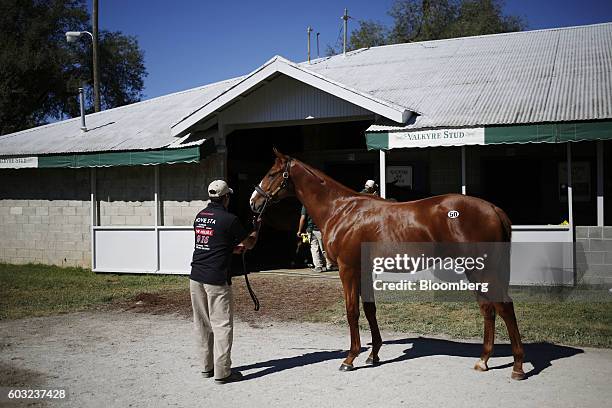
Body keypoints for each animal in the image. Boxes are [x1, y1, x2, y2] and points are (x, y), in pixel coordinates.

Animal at [249, 149, 524, 380]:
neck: (342, 210)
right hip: (475, 270)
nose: (253, 201)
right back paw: (483, 360)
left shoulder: (348, 269)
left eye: (271, 173)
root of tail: (493, 209)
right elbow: (370, 309)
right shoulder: (364, 270)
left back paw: (518, 367)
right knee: (488, 309)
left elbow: (352, 311)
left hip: (482, 269)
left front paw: (350, 358)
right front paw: (373, 354)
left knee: (504, 307)